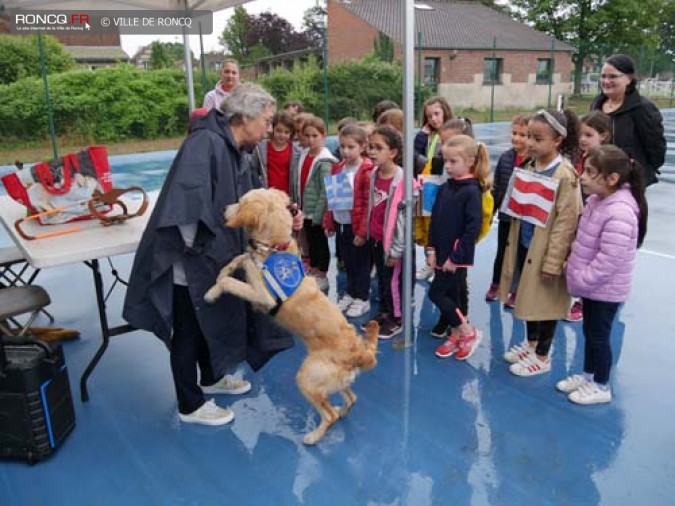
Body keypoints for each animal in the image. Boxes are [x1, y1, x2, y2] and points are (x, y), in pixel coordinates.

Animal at [203, 188, 378, 444]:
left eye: (241, 202)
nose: (223, 208)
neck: (274, 248)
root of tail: (360, 353)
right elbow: (242, 258)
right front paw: (226, 269)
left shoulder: (264, 296)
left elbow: (234, 278)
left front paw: (212, 291)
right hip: (334, 380)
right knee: (350, 399)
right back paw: (343, 410)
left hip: (306, 378)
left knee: (329, 415)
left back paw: (314, 436)